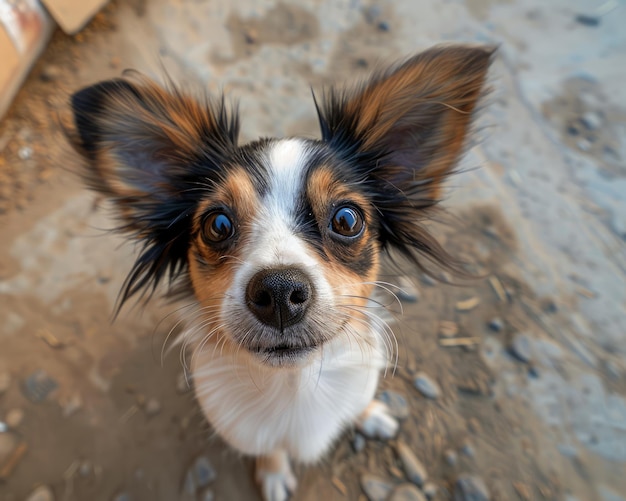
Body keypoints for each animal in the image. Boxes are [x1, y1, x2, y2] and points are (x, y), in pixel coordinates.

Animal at [68, 45, 492, 498]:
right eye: (218, 225)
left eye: (346, 219)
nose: (278, 291)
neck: (295, 385)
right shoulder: (247, 430)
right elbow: (269, 450)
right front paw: (273, 475)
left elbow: (358, 401)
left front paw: (370, 414)